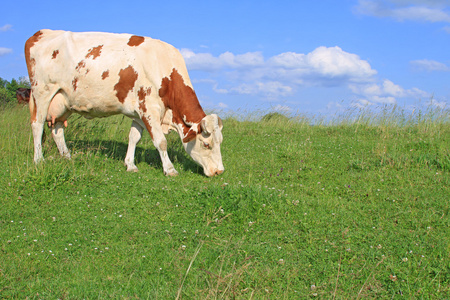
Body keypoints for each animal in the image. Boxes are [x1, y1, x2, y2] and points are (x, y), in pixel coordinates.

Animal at [23, 29, 224, 177]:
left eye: (220, 141)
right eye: (207, 144)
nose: (219, 171)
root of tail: (41, 33)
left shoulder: (139, 113)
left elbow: (133, 137)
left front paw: (130, 164)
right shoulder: (149, 109)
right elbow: (161, 142)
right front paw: (170, 169)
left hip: (63, 101)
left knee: (57, 129)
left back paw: (67, 157)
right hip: (42, 92)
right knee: (37, 125)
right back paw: (39, 160)